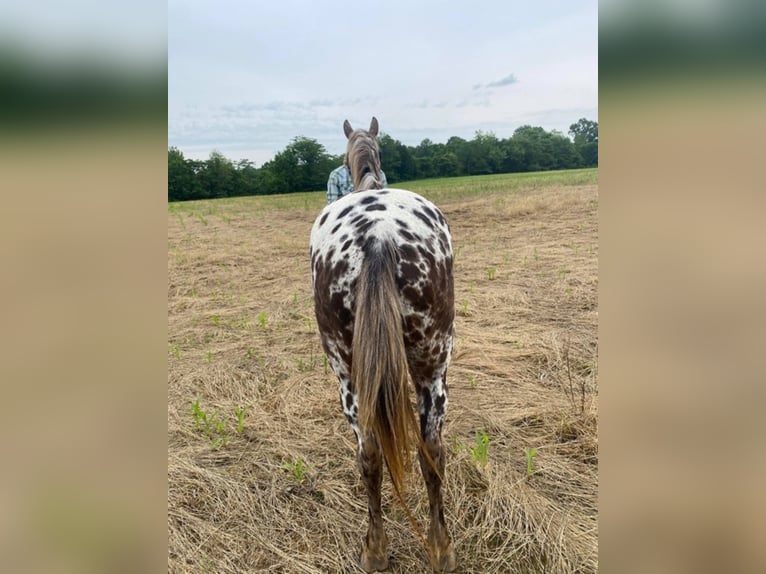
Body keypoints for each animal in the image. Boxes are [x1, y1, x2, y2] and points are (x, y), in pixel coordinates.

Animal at [308, 117, 456, 572]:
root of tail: (378, 236)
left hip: (347, 373)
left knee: (369, 453)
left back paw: (375, 548)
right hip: (432, 363)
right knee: (431, 450)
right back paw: (439, 547)